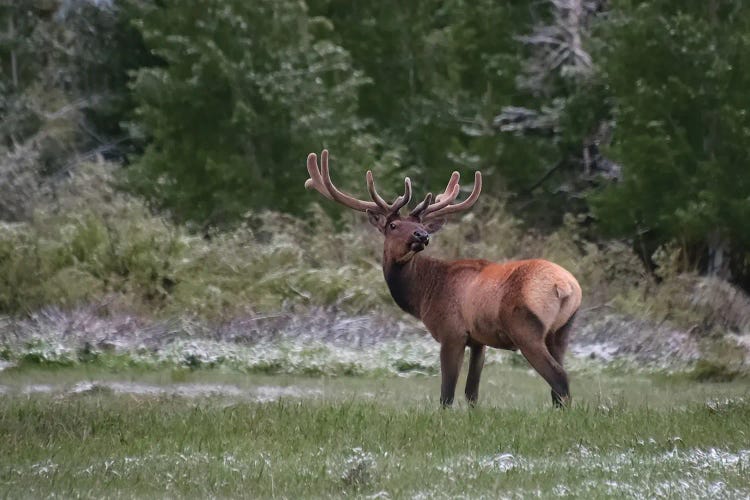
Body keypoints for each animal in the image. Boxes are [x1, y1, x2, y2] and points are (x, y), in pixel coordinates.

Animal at [304, 149, 580, 406]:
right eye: (393, 226)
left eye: (419, 226)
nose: (422, 234)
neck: (424, 293)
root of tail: (565, 287)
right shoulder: (479, 340)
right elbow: (471, 393)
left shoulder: (451, 332)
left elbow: (446, 394)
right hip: (562, 331)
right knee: (558, 382)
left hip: (526, 328)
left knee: (559, 378)